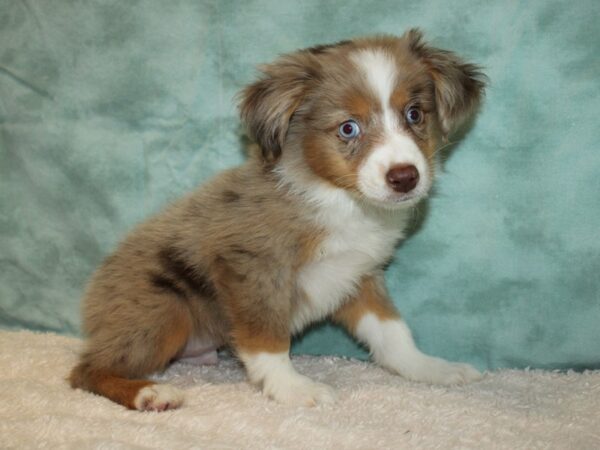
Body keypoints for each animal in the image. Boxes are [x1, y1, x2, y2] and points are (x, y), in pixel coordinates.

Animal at [68, 29, 486, 412]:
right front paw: (293, 388)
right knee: (85, 370)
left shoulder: (360, 274)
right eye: (348, 127)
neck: (340, 200)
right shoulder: (252, 267)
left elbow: (391, 332)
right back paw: (148, 392)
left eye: (415, 114)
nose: (405, 177)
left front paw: (429, 368)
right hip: (165, 311)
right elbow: (266, 339)